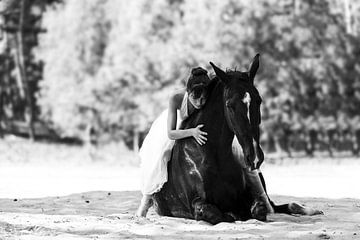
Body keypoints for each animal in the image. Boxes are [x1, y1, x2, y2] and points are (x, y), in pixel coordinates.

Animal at [153, 54, 322, 225]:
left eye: (259, 100)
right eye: (229, 105)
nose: (254, 157)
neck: (211, 155)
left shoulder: (249, 197)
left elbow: (259, 209)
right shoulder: (196, 202)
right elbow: (214, 213)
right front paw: (231, 215)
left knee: (277, 205)